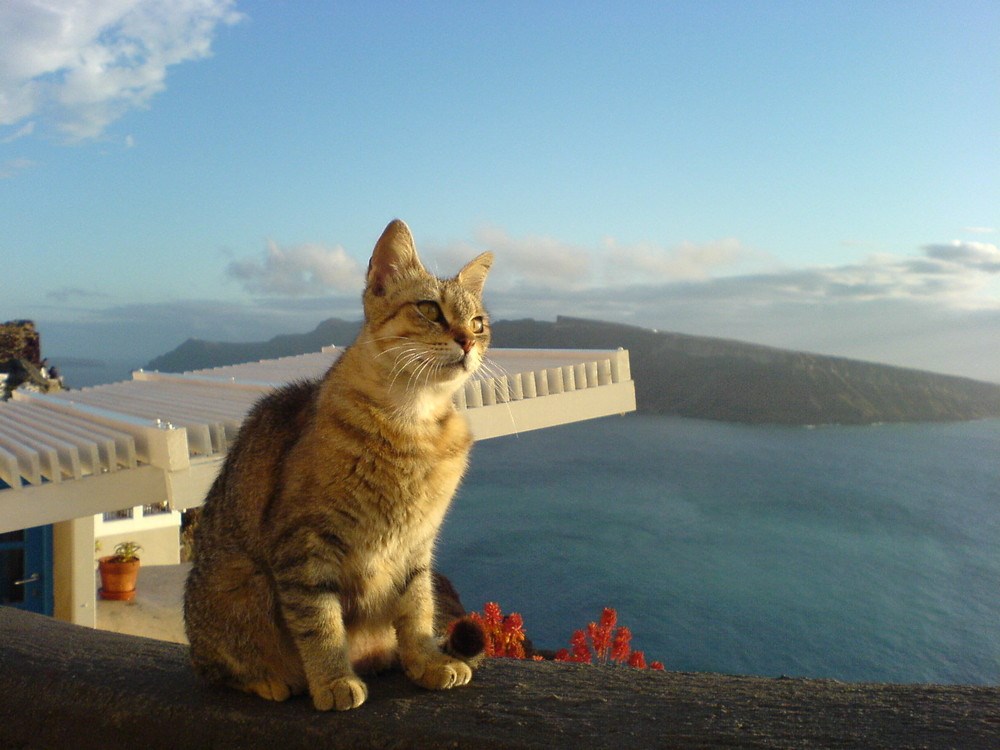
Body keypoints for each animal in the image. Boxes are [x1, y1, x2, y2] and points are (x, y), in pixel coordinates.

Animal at [184, 219, 492, 712]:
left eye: (479, 323)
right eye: (430, 309)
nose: (466, 339)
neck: (412, 427)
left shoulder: (416, 547)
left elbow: (417, 610)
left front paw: (426, 662)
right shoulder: (305, 545)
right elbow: (320, 624)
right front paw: (332, 679)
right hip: (238, 583)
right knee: (215, 668)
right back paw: (270, 679)